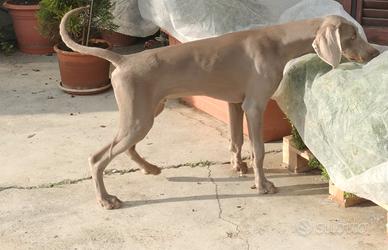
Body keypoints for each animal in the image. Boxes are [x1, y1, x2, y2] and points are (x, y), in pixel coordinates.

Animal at [60, 6, 378, 209]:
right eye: (353, 36)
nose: (375, 53)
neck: (278, 43)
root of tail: (123, 59)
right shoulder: (254, 105)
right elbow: (258, 149)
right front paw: (262, 185)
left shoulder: (235, 102)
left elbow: (236, 139)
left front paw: (238, 167)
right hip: (139, 117)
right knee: (98, 158)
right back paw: (106, 200)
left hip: (147, 110)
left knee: (125, 147)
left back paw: (150, 168)